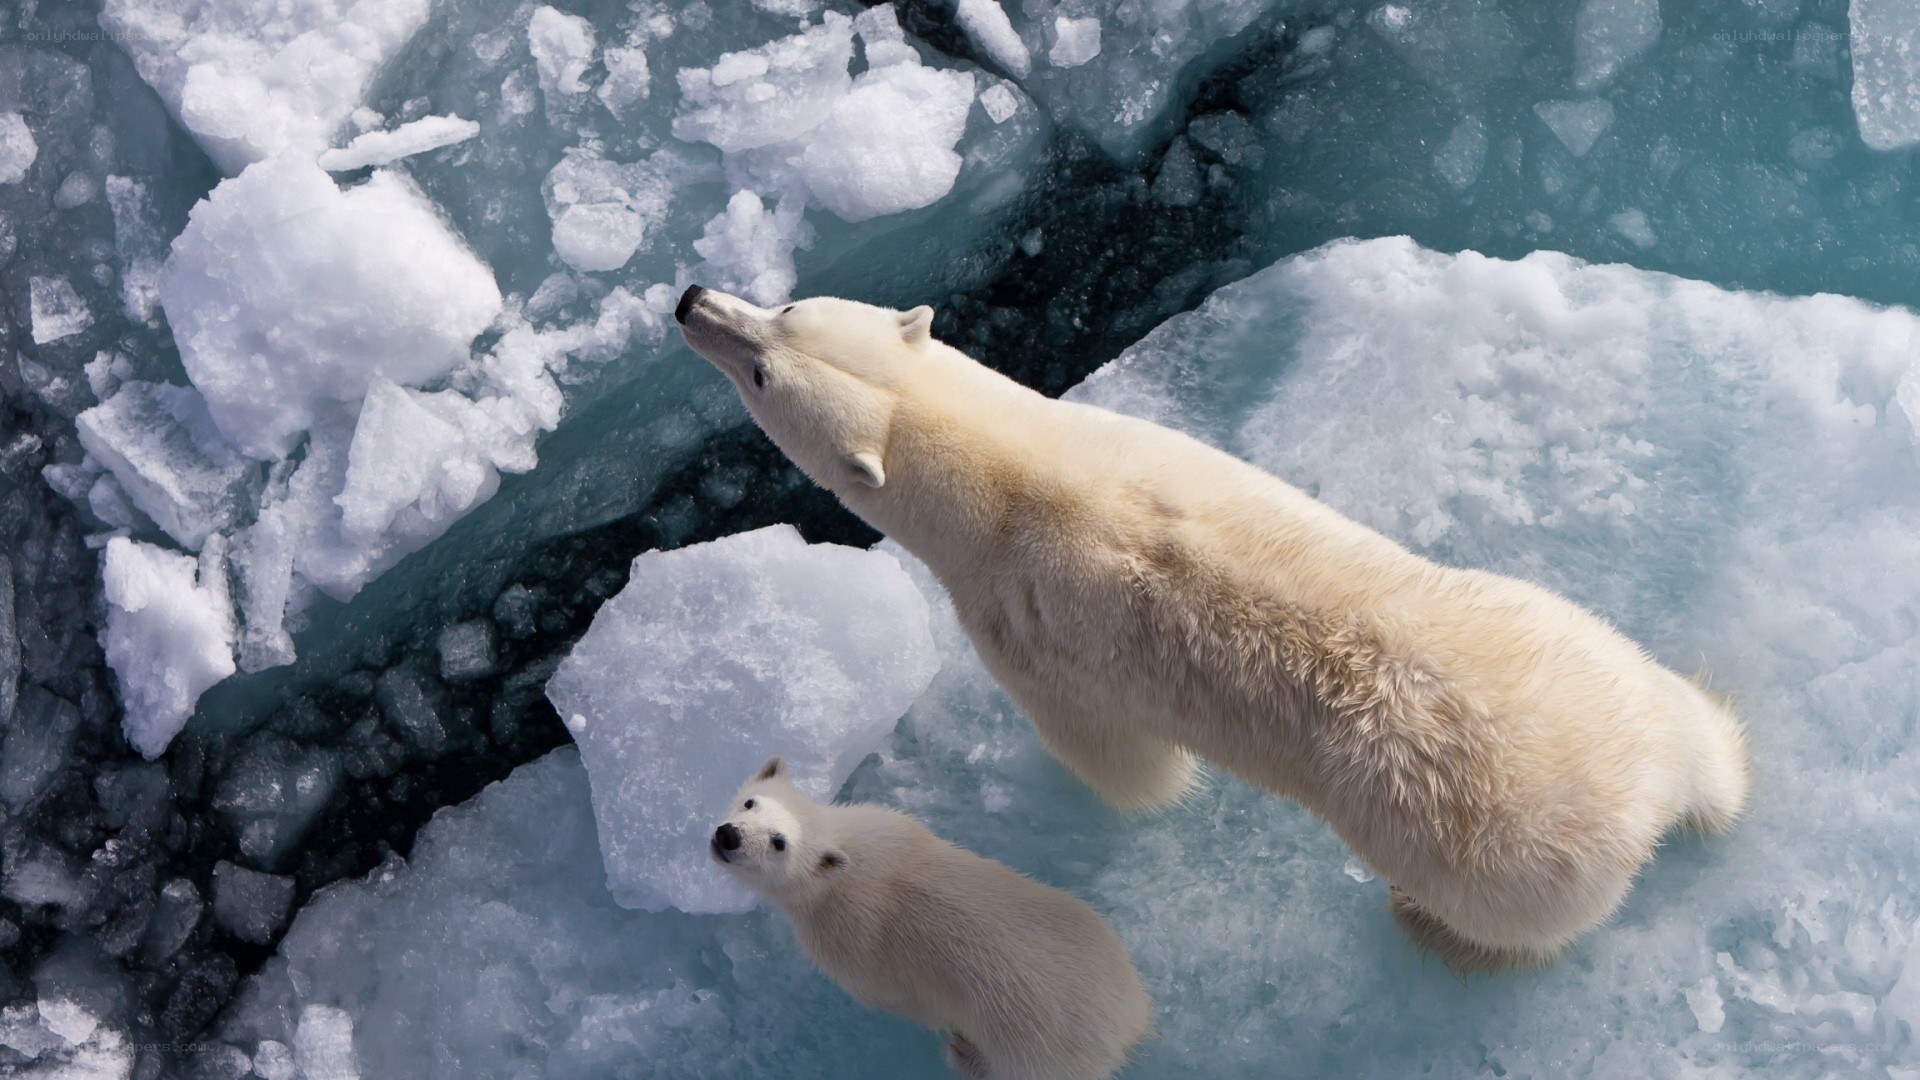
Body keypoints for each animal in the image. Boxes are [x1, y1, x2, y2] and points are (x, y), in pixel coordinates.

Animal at [676, 284, 1751, 970]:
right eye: (787, 313)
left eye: (765, 363)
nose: (691, 300)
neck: (1013, 476)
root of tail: (1642, 794)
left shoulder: (1023, 628)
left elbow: (1117, 761)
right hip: (1575, 642)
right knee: (1690, 721)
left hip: (1494, 854)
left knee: (1510, 923)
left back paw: (1426, 925)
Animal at [711, 756, 1154, 1080]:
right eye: (751, 802)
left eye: (779, 843)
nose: (728, 835)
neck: (849, 862)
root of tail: (1130, 1024)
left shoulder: (849, 947)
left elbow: (894, 998)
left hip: (1035, 1049)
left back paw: (962, 1053)